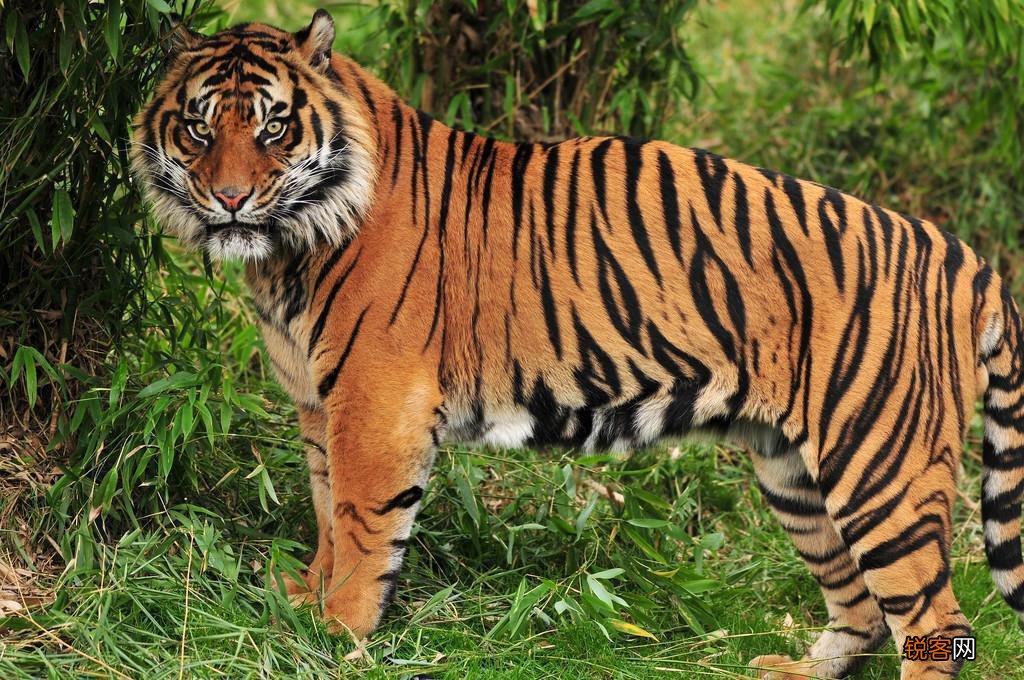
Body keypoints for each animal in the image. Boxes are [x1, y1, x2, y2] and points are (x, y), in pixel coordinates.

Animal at [130, 10, 1024, 679]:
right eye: (199, 129)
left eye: (275, 128)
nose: (230, 199)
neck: (286, 252)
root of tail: (966, 257)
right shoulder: (319, 405)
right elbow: (323, 507)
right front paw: (302, 602)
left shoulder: (376, 402)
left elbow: (358, 523)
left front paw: (335, 631)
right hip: (794, 470)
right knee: (864, 606)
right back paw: (796, 670)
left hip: (880, 463)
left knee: (938, 619)